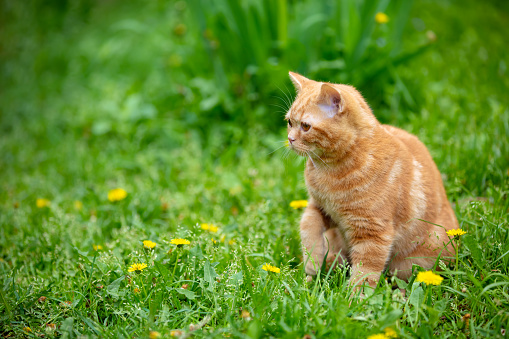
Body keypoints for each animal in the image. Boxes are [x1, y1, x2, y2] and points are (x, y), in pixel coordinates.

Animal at [286, 71, 456, 286]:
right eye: (289, 122)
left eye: (306, 126)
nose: (290, 139)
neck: (329, 171)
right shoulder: (318, 207)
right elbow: (307, 228)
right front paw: (312, 263)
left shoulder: (372, 232)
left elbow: (364, 273)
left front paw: (353, 295)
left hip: (412, 263)